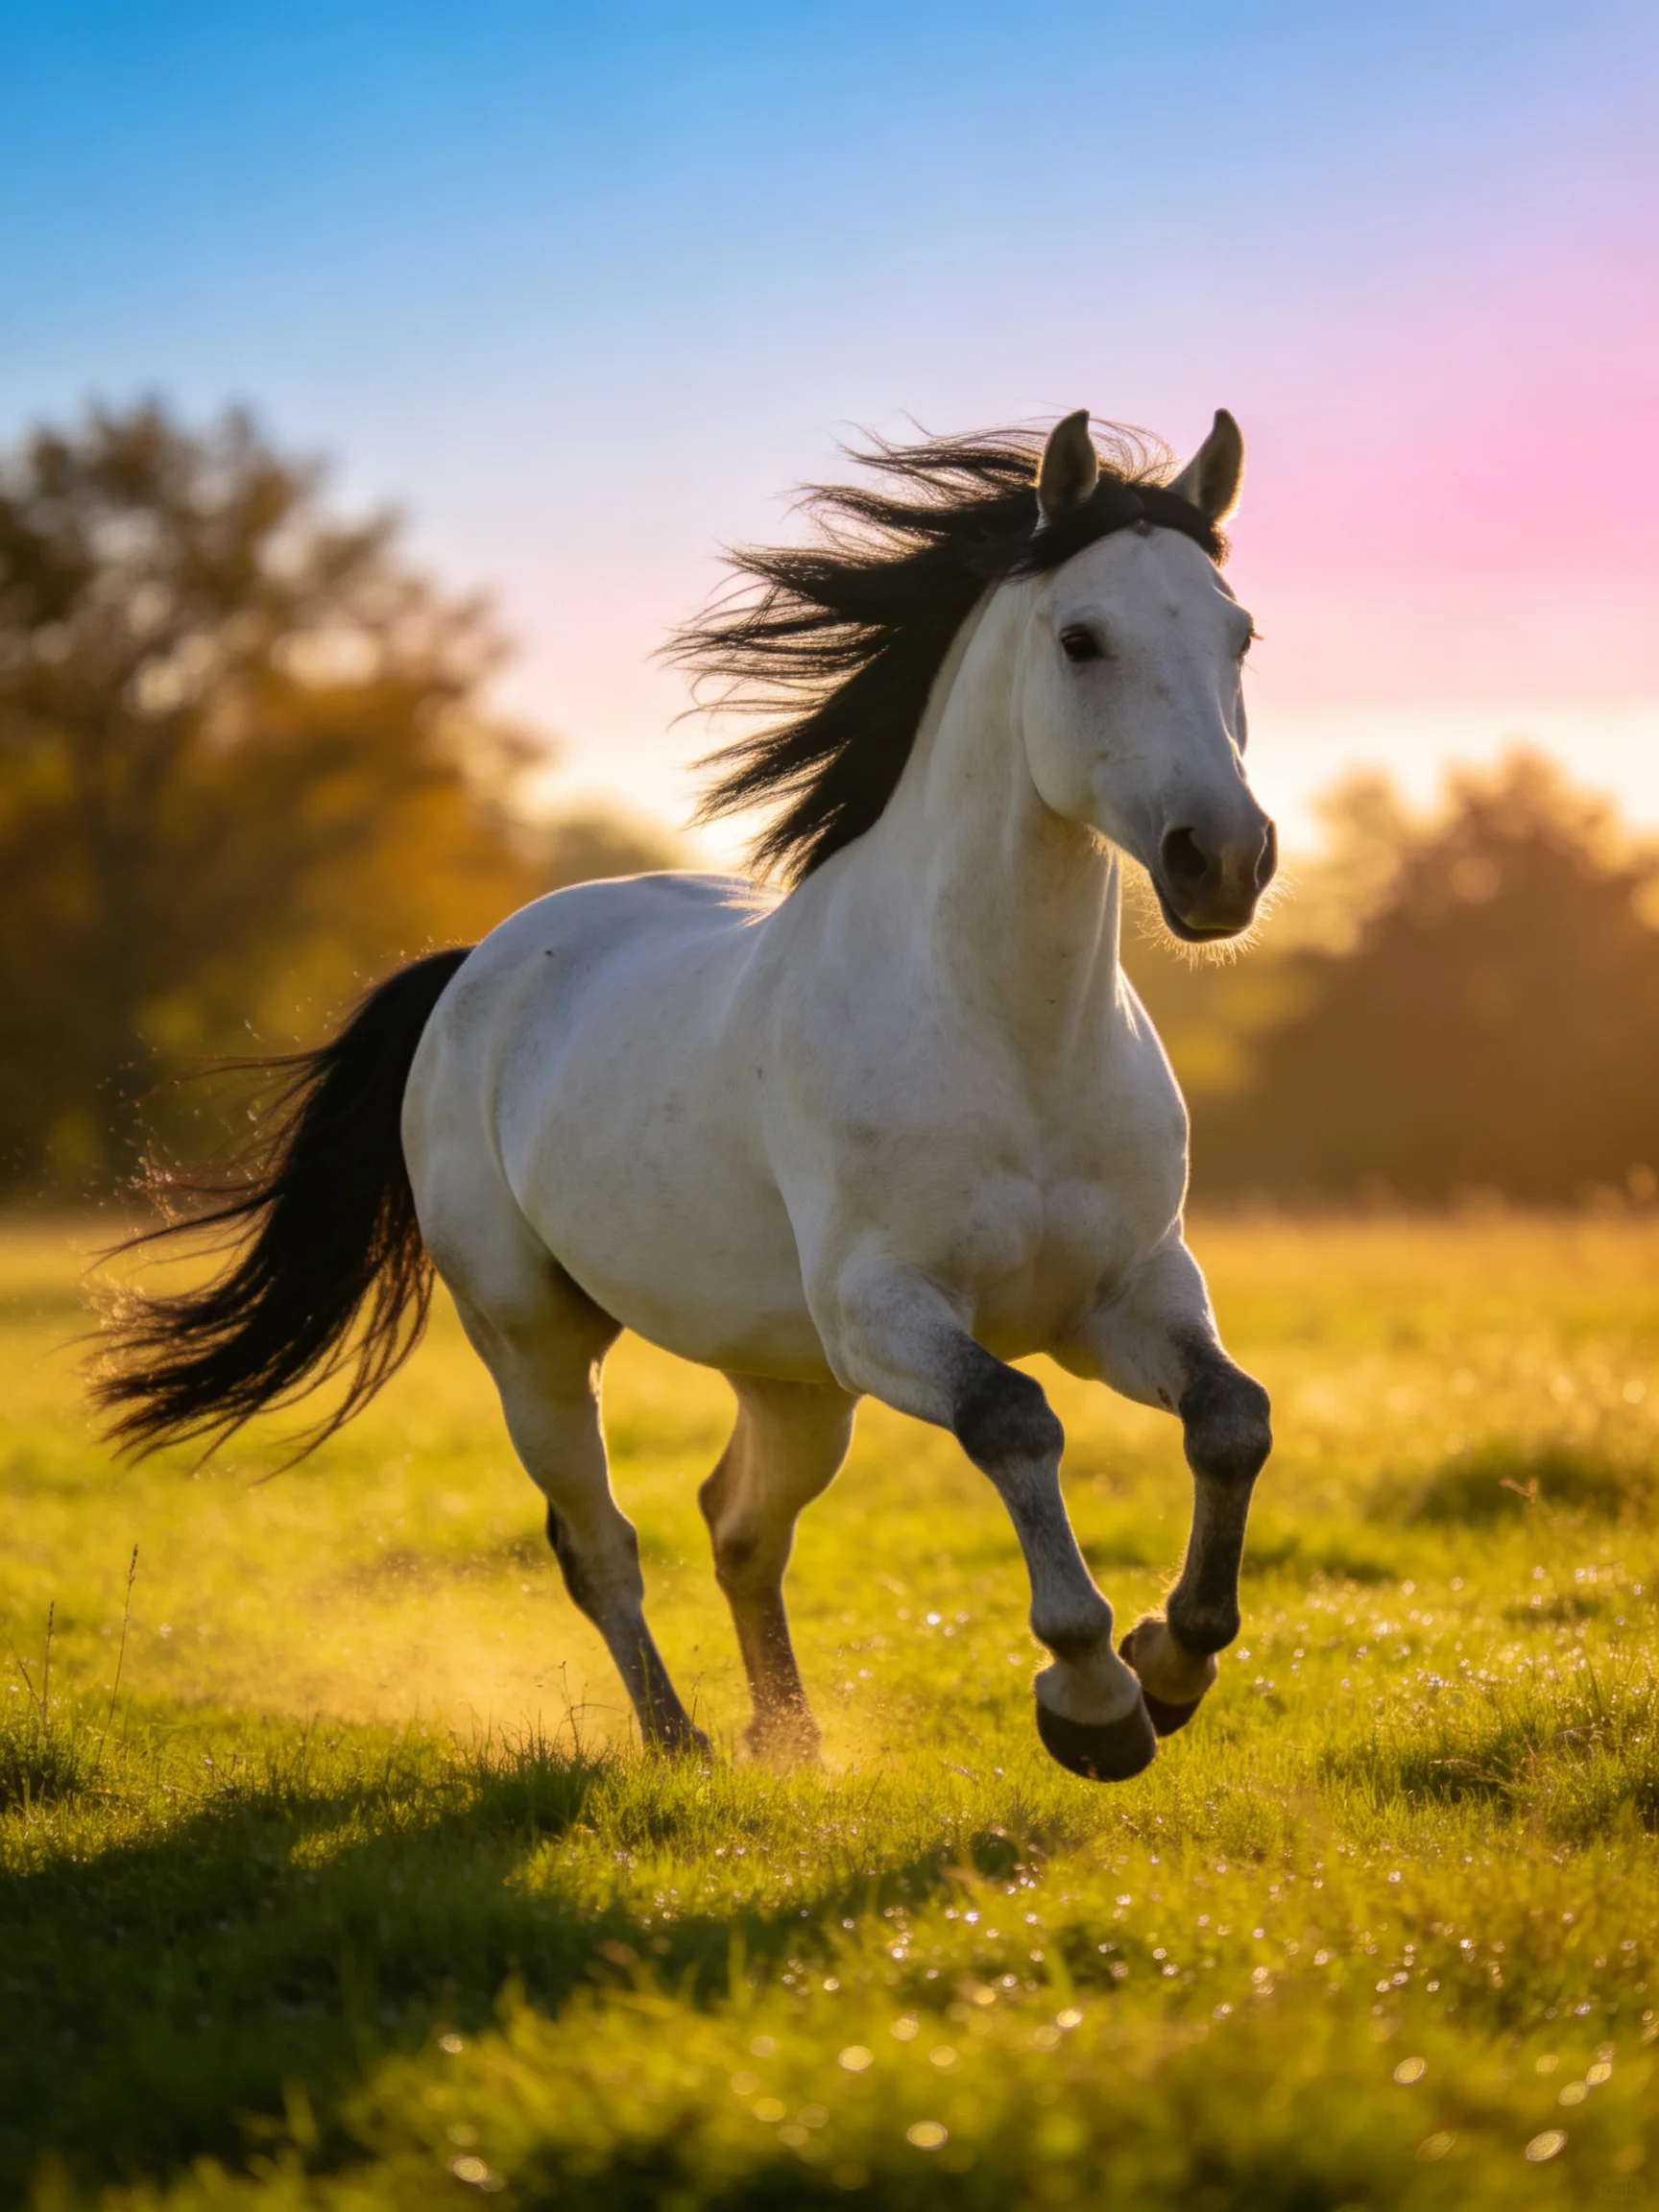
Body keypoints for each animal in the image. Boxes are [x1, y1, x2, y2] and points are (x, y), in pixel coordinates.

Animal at [97, 407, 1278, 1784]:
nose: (1223, 861)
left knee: (739, 1522)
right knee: (599, 1541)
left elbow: (1231, 1420)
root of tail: (478, 963)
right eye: (1081, 637)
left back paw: (794, 1739)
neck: (1011, 1036)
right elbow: (1016, 1424)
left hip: (793, 1380)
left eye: (1239, 634)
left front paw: (1174, 1663)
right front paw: (1092, 1700)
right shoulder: (886, 1311)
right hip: (539, 1347)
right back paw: (680, 1739)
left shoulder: (1126, 1292)